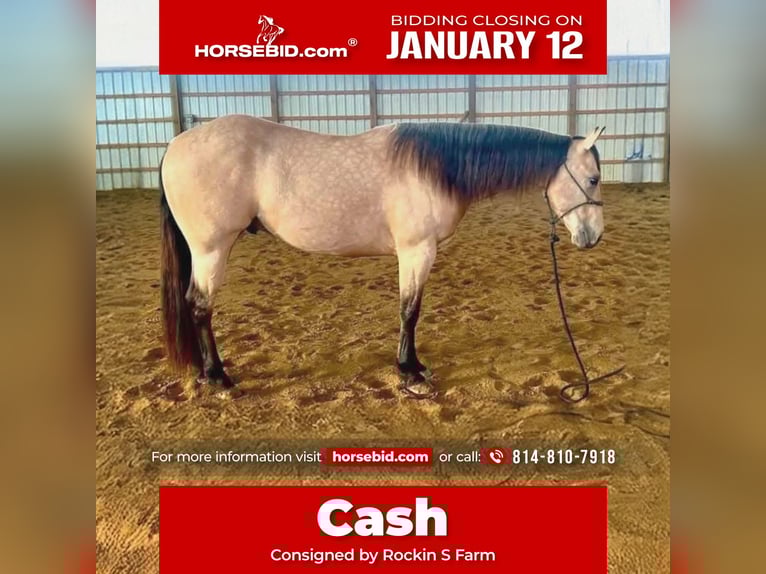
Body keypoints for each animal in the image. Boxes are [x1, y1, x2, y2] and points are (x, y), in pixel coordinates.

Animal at [159, 116, 606, 396]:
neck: (434, 169)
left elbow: (410, 310)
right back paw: (218, 377)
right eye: (593, 178)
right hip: (211, 249)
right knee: (199, 307)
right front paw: (410, 371)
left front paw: (413, 366)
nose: (593, 237)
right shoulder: (417, 250)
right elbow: (410, 310)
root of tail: (176, 144)